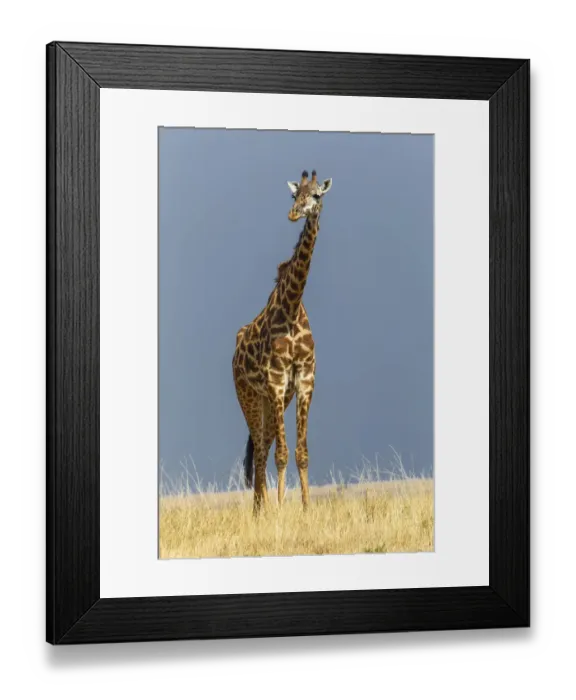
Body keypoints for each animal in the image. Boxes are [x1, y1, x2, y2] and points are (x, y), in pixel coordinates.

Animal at [232, 170, 333, 514]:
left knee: (263, 446)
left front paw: (305, 509)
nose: (294, 213)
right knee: (262, 450)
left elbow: (301, 452)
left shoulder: (304, 379)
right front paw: (279, 510)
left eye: (316, 195)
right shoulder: (276, 381)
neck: (291, 308)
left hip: (272, 398)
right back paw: (259, 512)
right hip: (249, 395)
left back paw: (260, 509)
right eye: (293, 195)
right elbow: (281, 454)